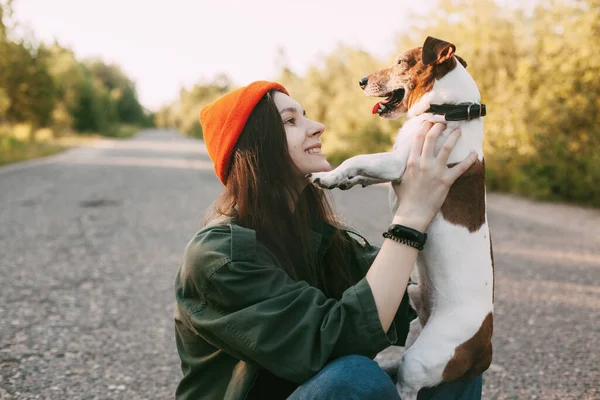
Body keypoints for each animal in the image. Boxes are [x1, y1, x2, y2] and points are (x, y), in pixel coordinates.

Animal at [308, 36, 494, 398]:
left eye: (399, 62)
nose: (361, 81)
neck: (448, 110)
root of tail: (486, 347)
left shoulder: (399, 164)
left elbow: (357, 159)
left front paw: (330, 175)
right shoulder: (392, 166)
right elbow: (364, 171)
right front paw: (345, 180)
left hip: (422, 360)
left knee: (406, 385)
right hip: (415, 319)